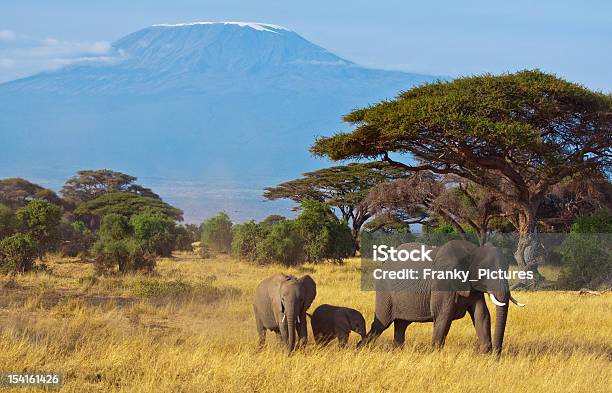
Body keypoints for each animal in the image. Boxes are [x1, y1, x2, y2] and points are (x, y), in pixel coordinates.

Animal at [360, 239, 524, 352]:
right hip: (385, 291)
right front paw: (434, 354)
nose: (497, 354)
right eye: (484, 272)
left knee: (401, 325)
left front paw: (485, 353)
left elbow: (481, 315)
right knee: (380, 324)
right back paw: (360, 348)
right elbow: (443, 316)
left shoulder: (472, 288)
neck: (471, 251)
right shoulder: (442, 282)